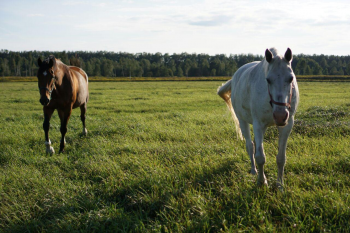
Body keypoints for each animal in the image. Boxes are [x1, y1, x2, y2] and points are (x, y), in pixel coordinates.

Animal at [217, 47, 300, 187]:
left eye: (290, 78)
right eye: (268, 80)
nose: (280, 116)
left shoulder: (287, 125)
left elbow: (281, 158)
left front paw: (280, 185)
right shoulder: (258, 124)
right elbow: (260, 157)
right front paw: (262, 181)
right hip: (243, 121)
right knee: (250, 146)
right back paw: (253, 171)